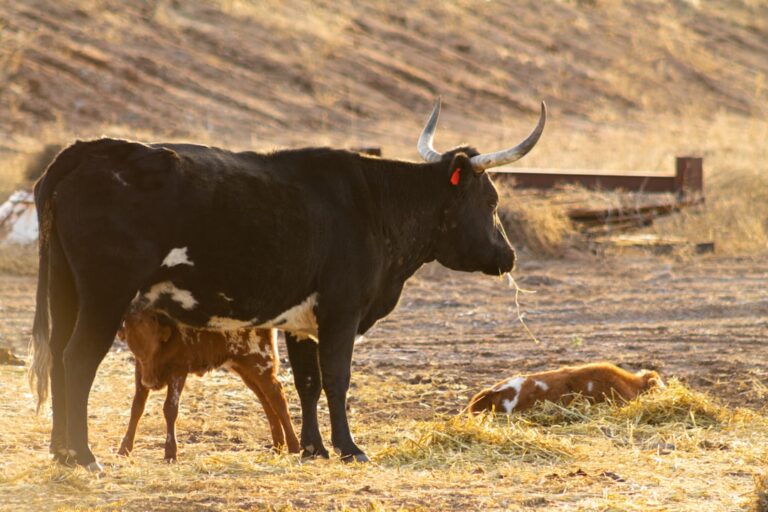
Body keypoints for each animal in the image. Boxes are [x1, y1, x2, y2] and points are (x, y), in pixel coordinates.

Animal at [116, 309, 299, 461]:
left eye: (153, 321)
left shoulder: (178, 370)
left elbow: (170, 408)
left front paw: (170, 453)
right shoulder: (140, 371)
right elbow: (137, 407)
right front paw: (124, 449)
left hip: (260, 362)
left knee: (277, 396)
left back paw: (294, 447)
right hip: (244, 368)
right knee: (266, 400)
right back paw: (277, 446)